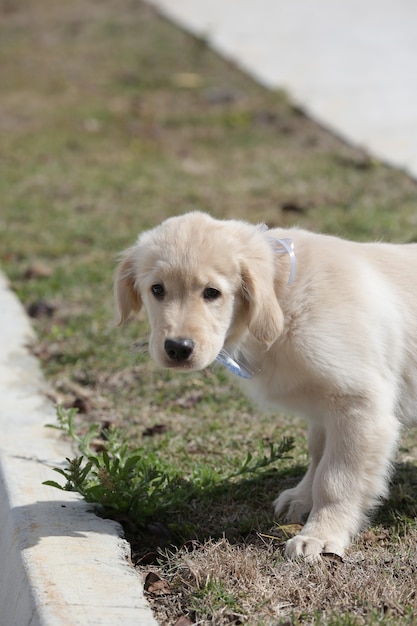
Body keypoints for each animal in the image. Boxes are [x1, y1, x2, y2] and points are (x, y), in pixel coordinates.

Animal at [114, 212, 416, 560]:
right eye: (157, 289)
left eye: (212, 292)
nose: (178, 348)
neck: (284, 296)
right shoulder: (324, 407)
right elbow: (318, 454)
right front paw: (302, 498)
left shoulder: (359, 405)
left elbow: (335, 479)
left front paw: (320, 535)